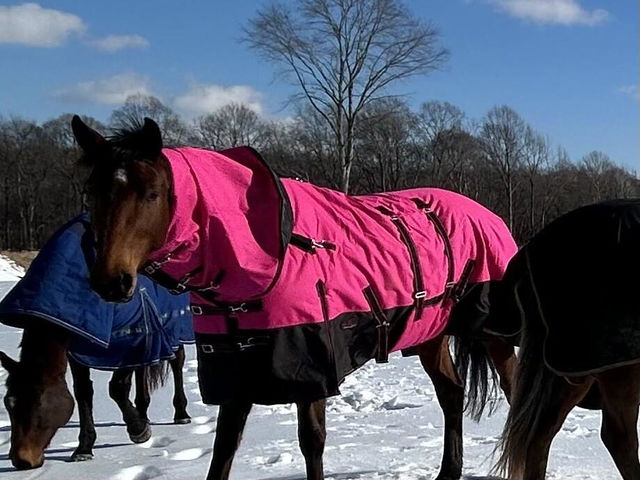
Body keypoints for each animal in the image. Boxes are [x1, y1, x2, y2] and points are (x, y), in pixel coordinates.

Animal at [0, 216, 193, 469]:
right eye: (9, 403)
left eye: (38, 403)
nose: (22, 460)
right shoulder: (78, 347)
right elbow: (83, 392)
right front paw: (84, 448)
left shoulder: (130, 341)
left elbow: (117, 388)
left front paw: (138, 430)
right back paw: (143, 412)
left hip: (171, 331)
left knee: (177, 362)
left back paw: (180, 413)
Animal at [70, 115, 519, 480]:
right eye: (91, 192)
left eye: (152, 192)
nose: (111, 282)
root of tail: (487, 214)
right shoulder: (236, 372)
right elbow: (224, 448)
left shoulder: (312, 367)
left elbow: (312, 444)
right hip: (429, 335)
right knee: (451, 395)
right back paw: (448, 471)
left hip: (493, 333)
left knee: (515, 393)